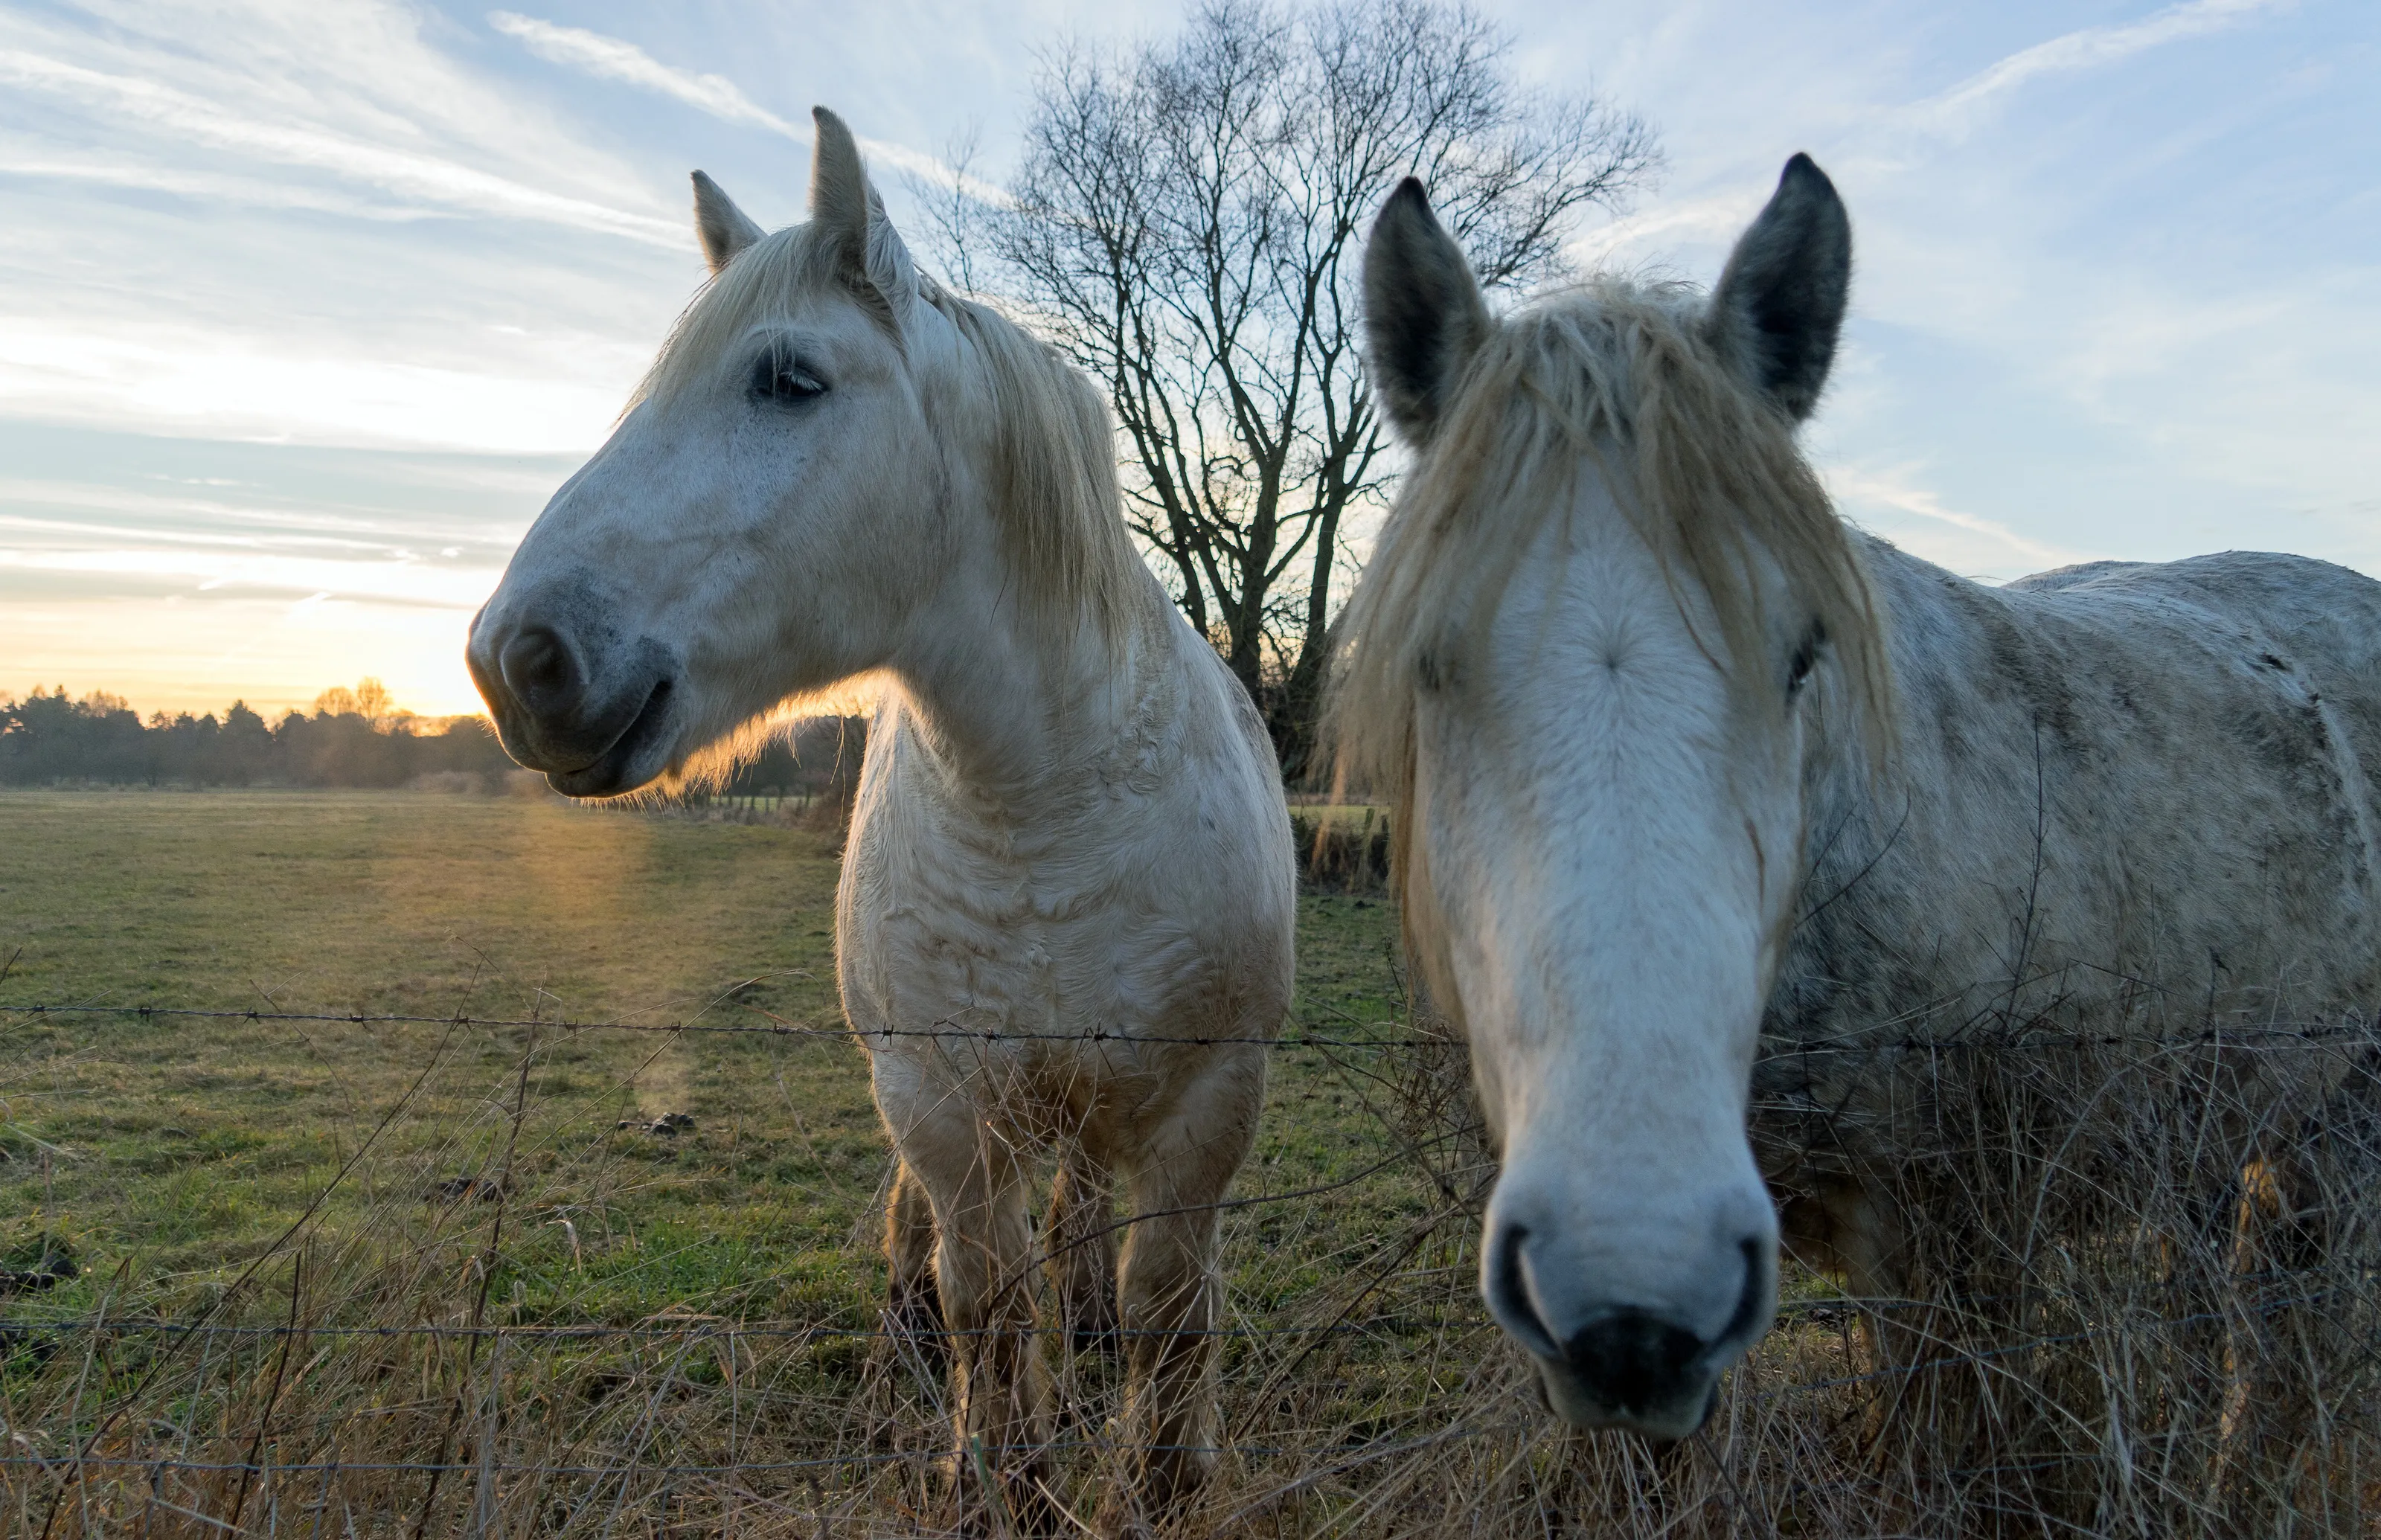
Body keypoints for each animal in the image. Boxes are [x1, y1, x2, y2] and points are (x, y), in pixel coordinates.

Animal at [467, 108, 1296, 1530]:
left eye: (791, 380)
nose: (515, 659)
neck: (1042, 805)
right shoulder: (942, 1103)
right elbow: (987, 1311)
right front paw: (997, 1479)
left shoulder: (1205, 1108)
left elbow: (1169, 1314)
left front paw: (1159, 1479)